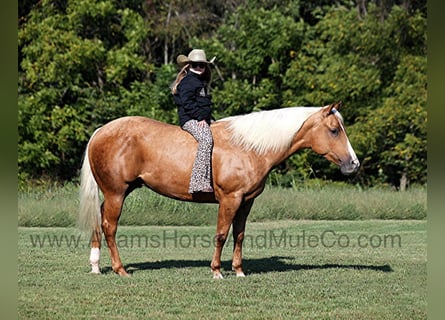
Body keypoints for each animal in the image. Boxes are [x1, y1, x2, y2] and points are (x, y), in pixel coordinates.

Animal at [79, 102, 358, 278]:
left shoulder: (246, 202)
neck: (249, 147)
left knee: (99, 220)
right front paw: (216, 271)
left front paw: (239, 270)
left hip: (116, 194)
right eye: (334, 130)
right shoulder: (229, 200)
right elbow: (222, 234)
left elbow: (239, 235)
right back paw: (120, 269)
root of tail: (101, 131)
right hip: (116, 194)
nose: (353, 164)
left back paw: (95, 265)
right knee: (110, 227)